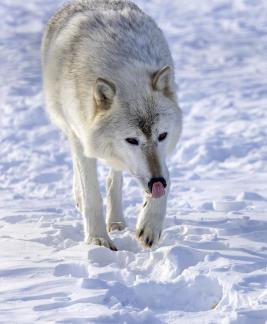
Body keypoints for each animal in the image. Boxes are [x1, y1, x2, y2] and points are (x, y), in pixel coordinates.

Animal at [42, 0, 183, 251]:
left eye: (162, 136)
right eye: (132, 140)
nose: (156, 182)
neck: (122, 64)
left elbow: (168, 178)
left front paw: (150, 224)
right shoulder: (82, 137)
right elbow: (92, 196)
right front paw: (98, 240)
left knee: (114, 178)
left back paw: (117, 222)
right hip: (68, 126)